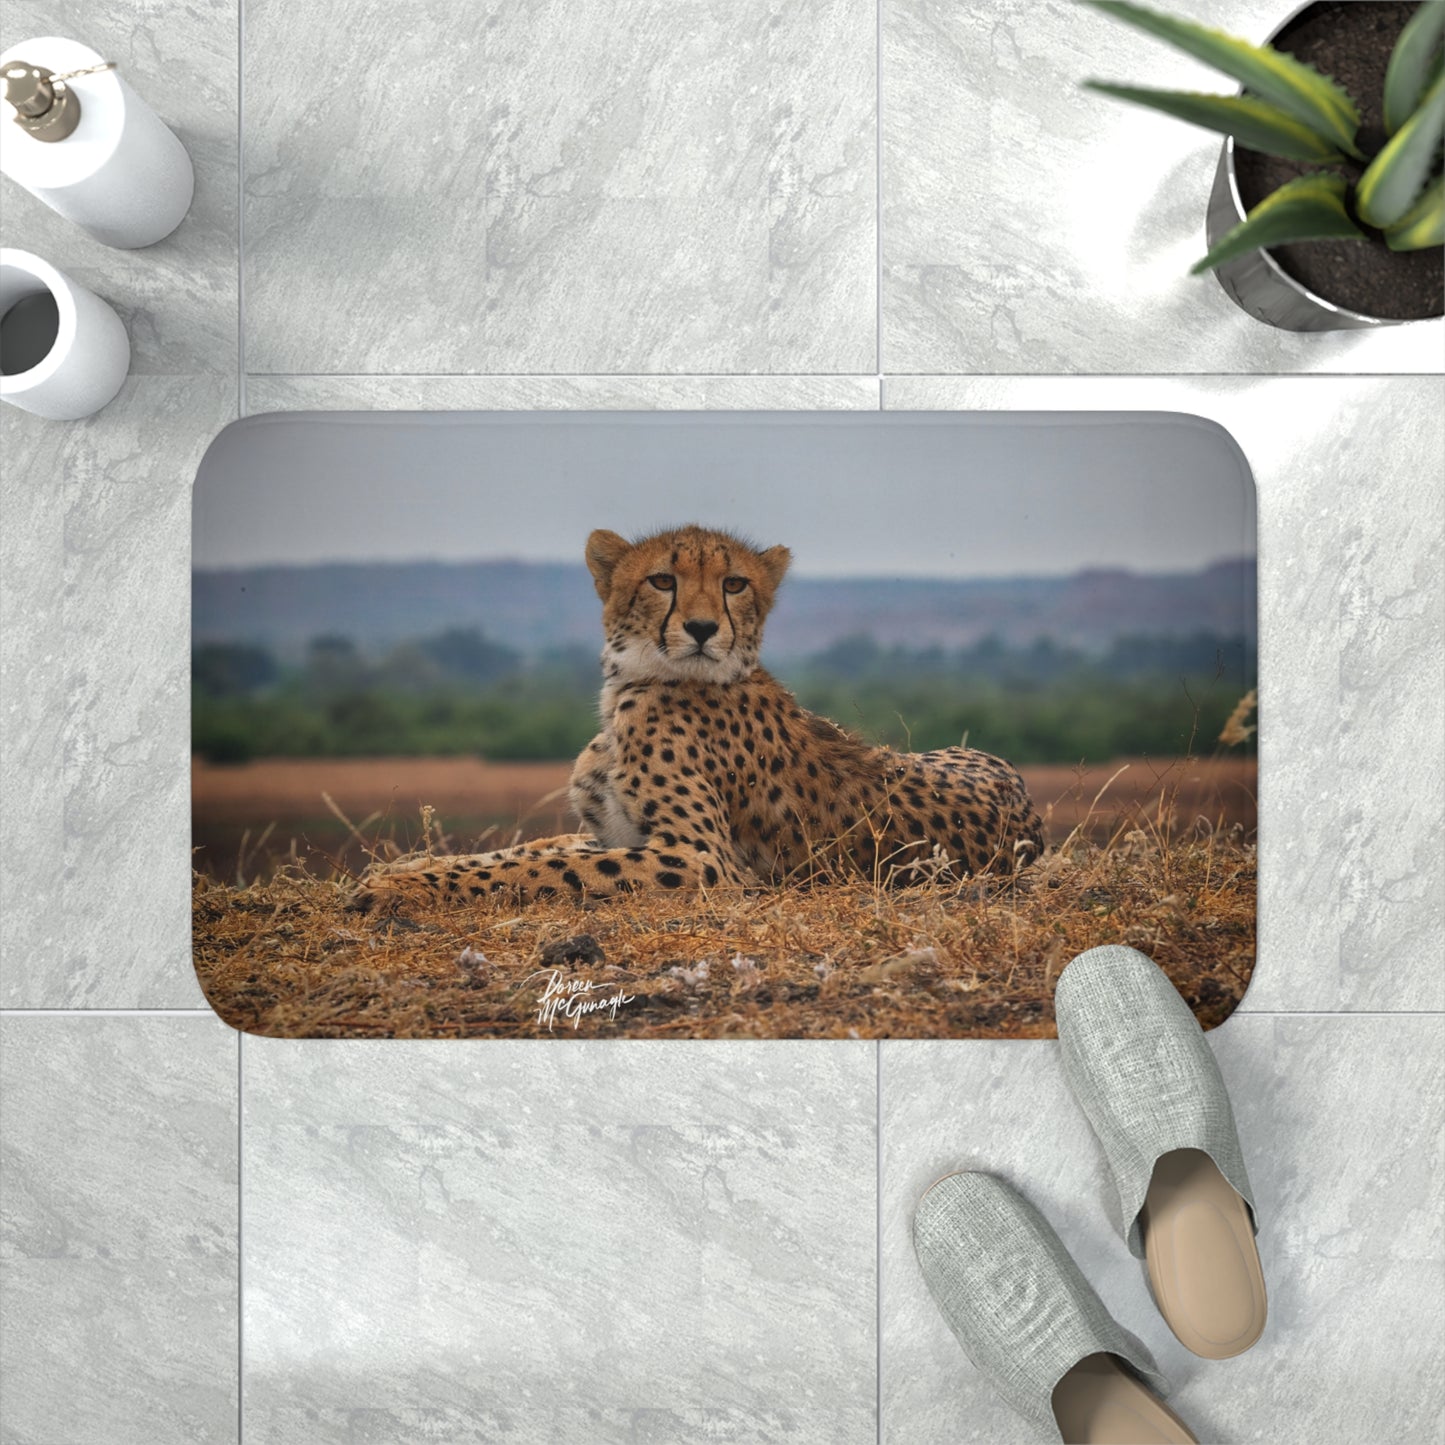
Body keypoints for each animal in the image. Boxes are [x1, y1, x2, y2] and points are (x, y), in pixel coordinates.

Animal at [349, 524, 1043, 911]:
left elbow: (539, 868)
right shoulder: (614, 833)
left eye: (735, 584)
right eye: (662, 580)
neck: (632, 685)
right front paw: (399, 871)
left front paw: (398, 890)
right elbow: (524, 852)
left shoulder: (701, 859)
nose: (704, 627)